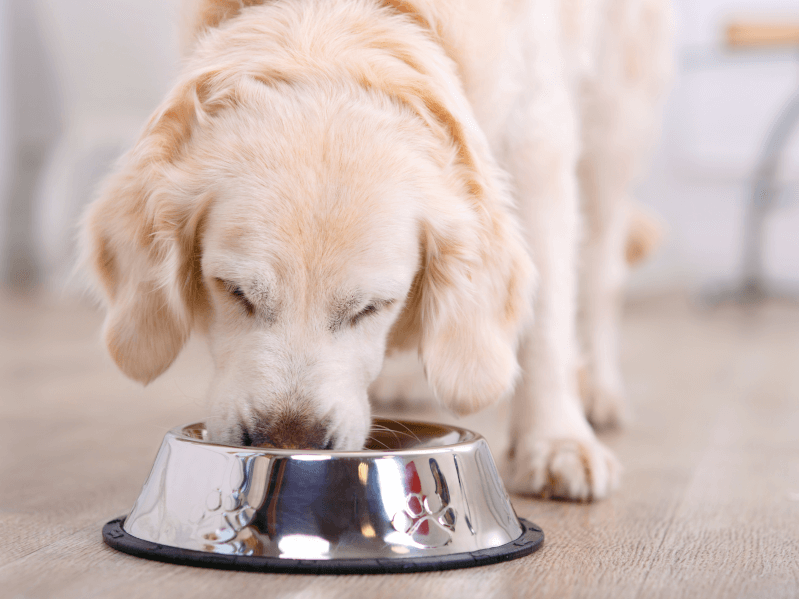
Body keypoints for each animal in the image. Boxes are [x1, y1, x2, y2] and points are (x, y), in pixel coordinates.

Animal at [81, 0, 672, 502]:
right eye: (234, 292)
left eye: (372, 308)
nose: (289, 442)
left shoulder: (537, 138)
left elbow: (547, 315)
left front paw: (556, 442)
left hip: (615, 121)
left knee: (600, 270)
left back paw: (598, 391)